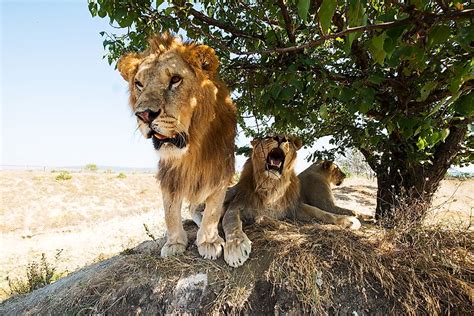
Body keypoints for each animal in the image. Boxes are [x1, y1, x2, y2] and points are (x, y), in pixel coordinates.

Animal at [117, 34, 236, 260]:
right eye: (139, 84)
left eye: (175, 80)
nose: (144, 115)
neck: (193, 148)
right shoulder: (168, 172)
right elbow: (170, 210)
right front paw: (174, 243)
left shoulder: (221, 167)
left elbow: (213, 208)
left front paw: (208, 241)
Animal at [221, 136, 360, 266]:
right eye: (337, 169)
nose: (345, 175)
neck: (271, 185)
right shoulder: (237, 206)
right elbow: (231, 222)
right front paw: (236, 246)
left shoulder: (294, 206)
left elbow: (321, 212)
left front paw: (348, 220)